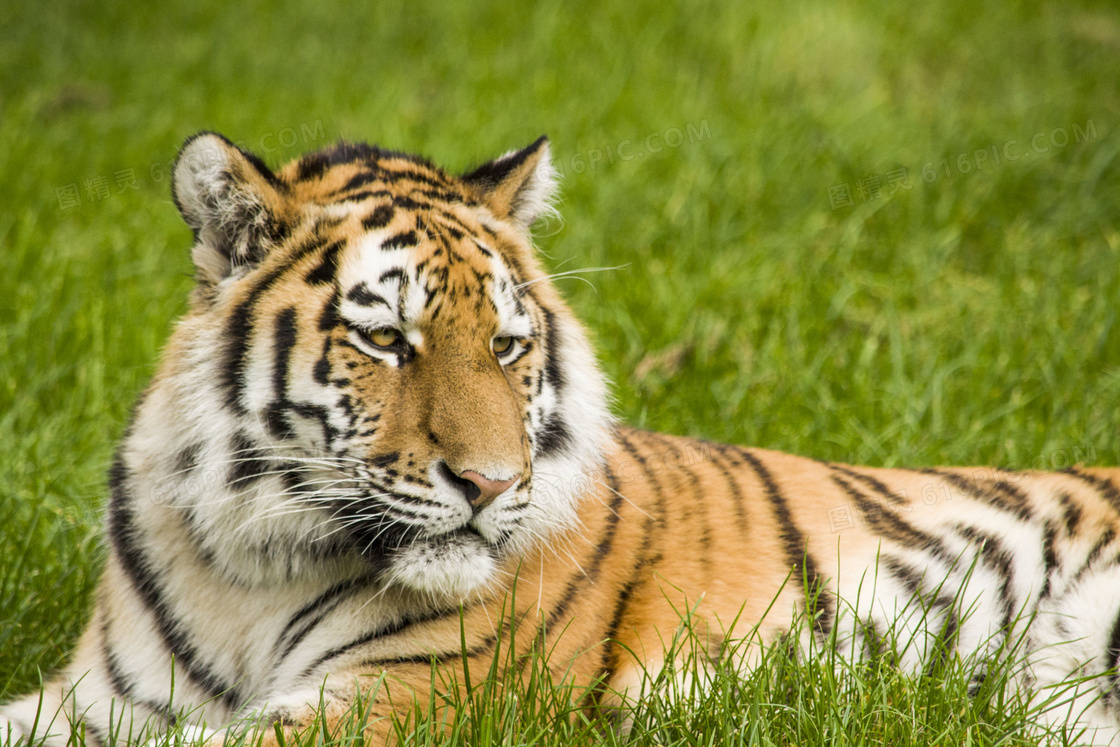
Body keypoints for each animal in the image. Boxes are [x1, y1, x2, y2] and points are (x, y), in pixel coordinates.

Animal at [2, 131, 1120, 743]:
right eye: (386, 338)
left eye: (505, 345)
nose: (491, 486)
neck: (247, 563)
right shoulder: (96, 700)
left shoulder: (397, 704)